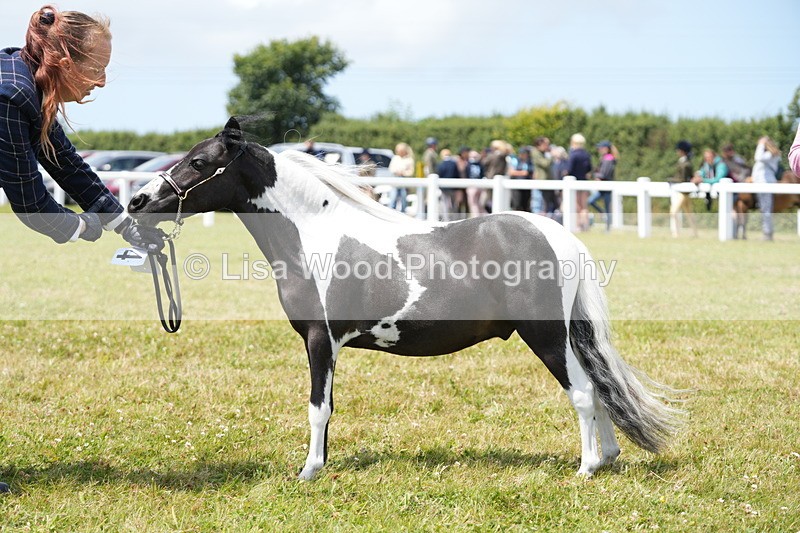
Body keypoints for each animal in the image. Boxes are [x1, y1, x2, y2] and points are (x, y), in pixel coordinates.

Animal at [128, 117, 682, 480]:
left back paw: (586, 468)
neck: (312, 232)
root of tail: (559, 236)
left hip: (545, 336)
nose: (137, 200)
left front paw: (309, 472)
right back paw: (606, 458)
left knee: (584, 392)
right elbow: (329, 408)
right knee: (599, 389)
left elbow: (317, 408)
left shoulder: (320, 340)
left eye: (199, 162)